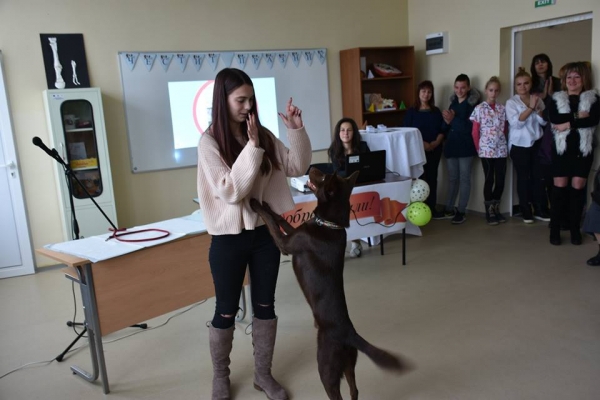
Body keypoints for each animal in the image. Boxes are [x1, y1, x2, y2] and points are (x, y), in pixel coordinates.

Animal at [250, 168, 412, 400]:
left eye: (325, 177)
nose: (311, 168)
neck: (330, 224)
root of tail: (350, 335)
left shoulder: (286, 244)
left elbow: (272, 224)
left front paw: (256, 203)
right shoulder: (296, 231)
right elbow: (279, 218)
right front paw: (268, 206)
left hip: (326, 368)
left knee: (337, 393)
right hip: (349, 364)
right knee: (354, 390)